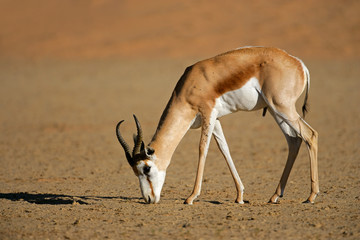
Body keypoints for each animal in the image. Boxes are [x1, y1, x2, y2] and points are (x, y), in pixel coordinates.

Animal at [115, 46, 318, 204]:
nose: (149, 199)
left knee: (310, 135)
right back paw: (275, 196)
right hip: (276, 111)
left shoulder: (208, 112)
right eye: (135, 171)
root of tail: (298, 63)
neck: (190, 85)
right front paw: (239, 196)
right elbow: (224, 149)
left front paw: (191, 197)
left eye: (146, 168)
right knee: (294, 140)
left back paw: (310, 196)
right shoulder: (216, 119)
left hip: (282, 108)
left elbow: (202, 149)